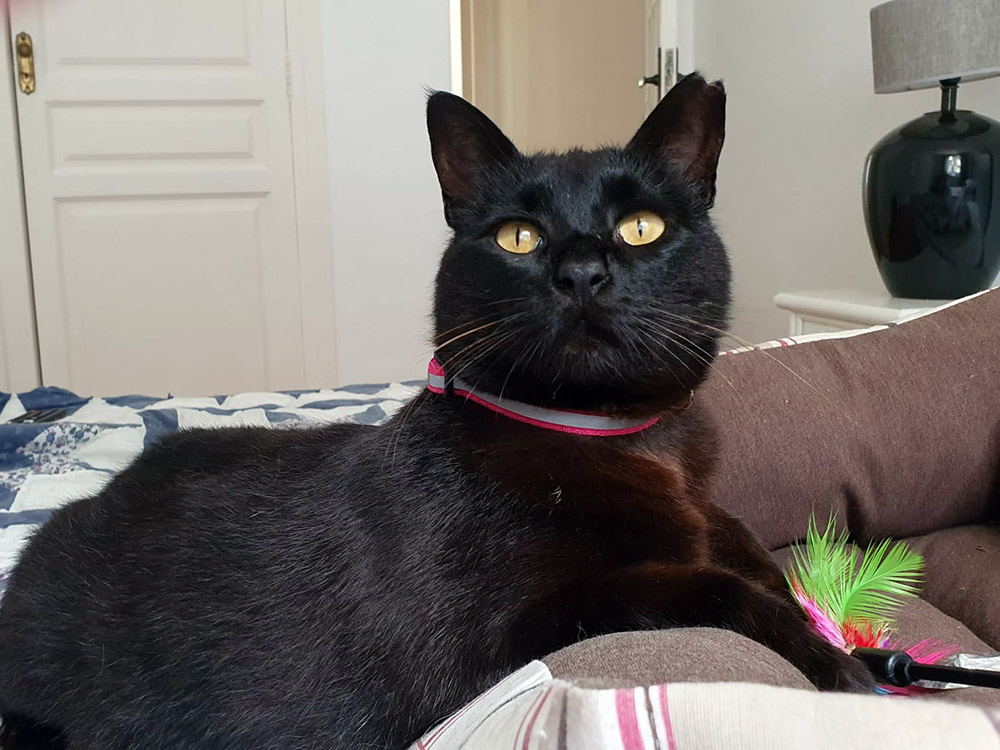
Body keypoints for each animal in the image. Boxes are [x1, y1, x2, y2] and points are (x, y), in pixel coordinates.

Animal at [0, 73, 873, 750]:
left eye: (641, 227)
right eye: (518, 236)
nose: (582, 272)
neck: (624, 443)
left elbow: (746, 557)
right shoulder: (483, 654)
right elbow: (702, 590)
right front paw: (843, 668)